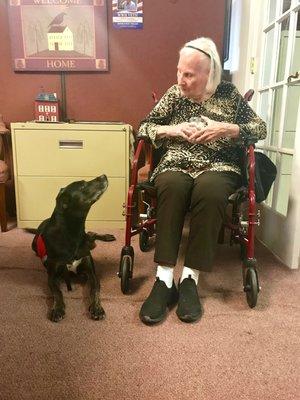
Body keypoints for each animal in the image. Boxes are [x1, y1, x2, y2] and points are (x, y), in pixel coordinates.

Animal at [31, 175, 113, 322]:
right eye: (82, 186)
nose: (104, 175)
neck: (73, 233)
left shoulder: (92, 273)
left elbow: (94, 291)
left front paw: (97, 308)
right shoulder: (52, 277)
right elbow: (58, 293)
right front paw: (57, 309)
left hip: (89, 239)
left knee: (92, 234)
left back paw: (107, 237)